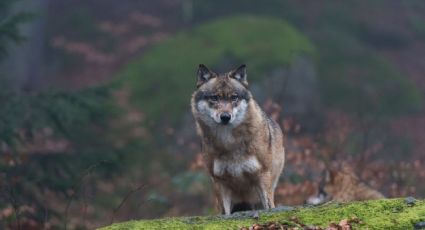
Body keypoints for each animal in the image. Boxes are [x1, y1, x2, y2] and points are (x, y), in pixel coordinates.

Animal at [190, 63, 284, 215]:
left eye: (234, 97)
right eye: (214, 98)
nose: (225, 117)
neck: (229, 142)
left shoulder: (263, 175)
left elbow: (268, 207)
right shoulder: (219, 182)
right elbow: (225, 213)